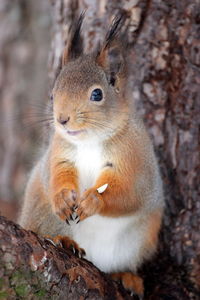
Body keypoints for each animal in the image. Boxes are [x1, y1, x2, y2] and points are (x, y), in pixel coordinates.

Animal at [18, 13, 164, 298]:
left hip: (138, 240)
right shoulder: (59, 155)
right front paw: (63, 198)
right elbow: (56, 177)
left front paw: (94, 201)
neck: (90, 141)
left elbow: (130, 192)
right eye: (53, 94)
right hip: (43, 216)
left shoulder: (136, 161)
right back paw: (64, 241)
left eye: (97, 94)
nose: (62, 120)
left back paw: (126, 277)